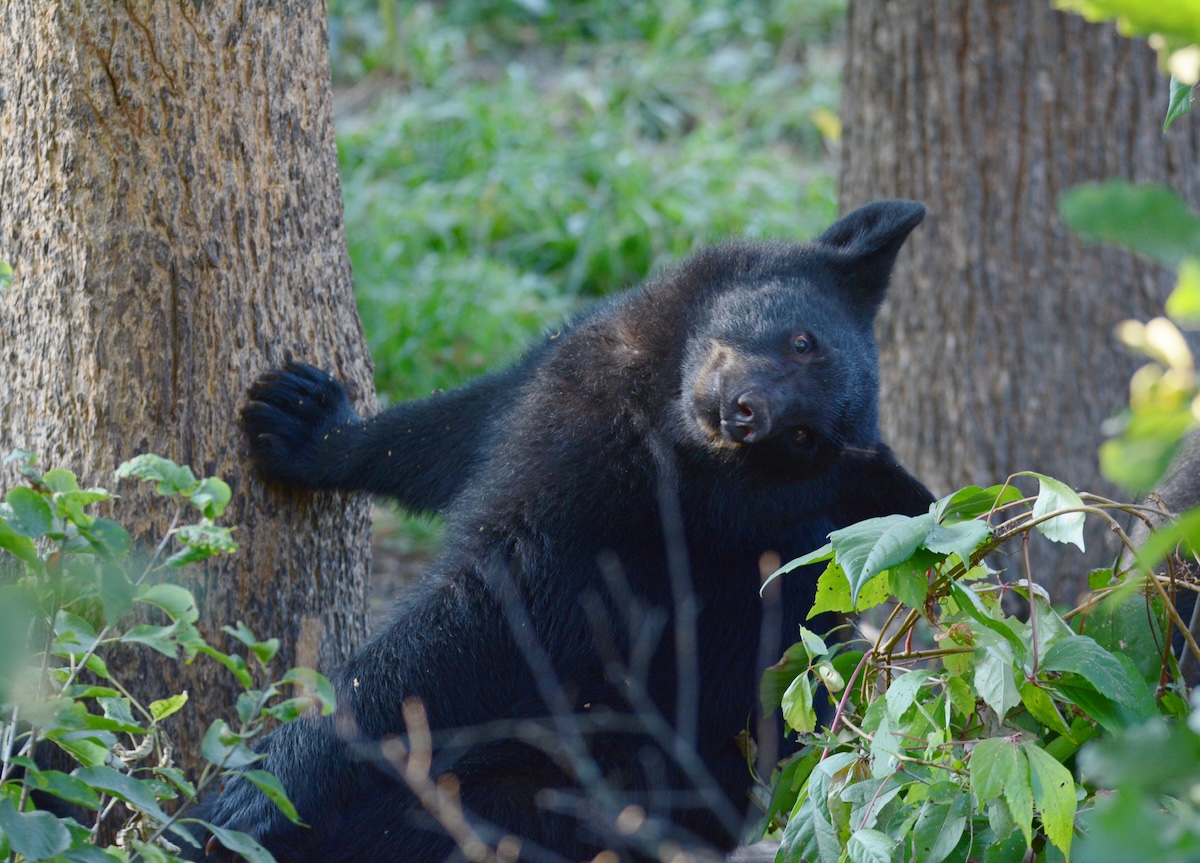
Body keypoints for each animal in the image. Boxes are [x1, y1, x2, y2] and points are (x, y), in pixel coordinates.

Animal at [194, 200, 934, 862]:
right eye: (802, 340)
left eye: (805, 441)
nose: (750, 414)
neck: (659, 421)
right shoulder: (567, 382)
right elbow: (459, 433)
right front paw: (306, 421)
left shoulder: (612, 530)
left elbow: (474, 626)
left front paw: (261, 784)